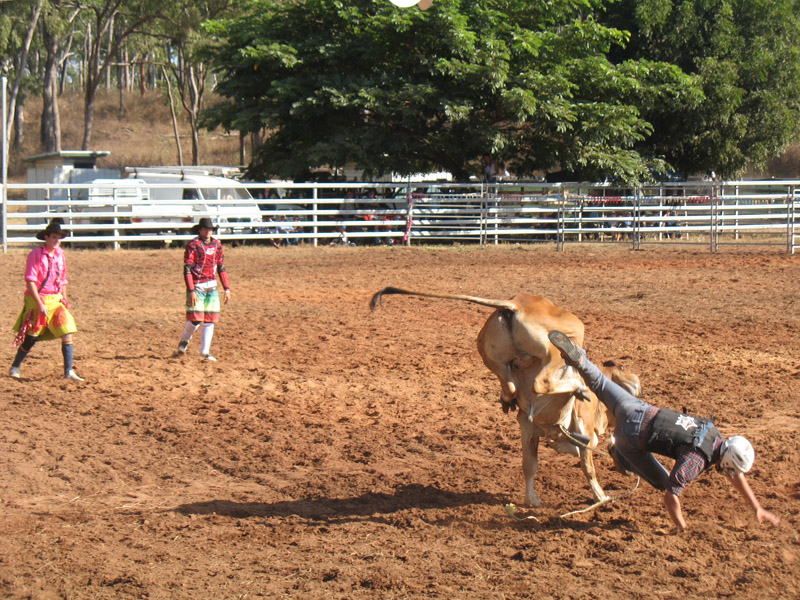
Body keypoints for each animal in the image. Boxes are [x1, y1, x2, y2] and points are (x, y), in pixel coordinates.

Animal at [372, 286, 640, 506]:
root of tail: (515, 304)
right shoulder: (584, 434)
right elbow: (587, 467)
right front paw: (601, 496)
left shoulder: (528, 428)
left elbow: (529, 466)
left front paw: (531, 499)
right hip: (560, 342)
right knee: (543, 380)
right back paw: (577, 387)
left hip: (489, 353)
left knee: (511, 384)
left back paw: (509, 398)